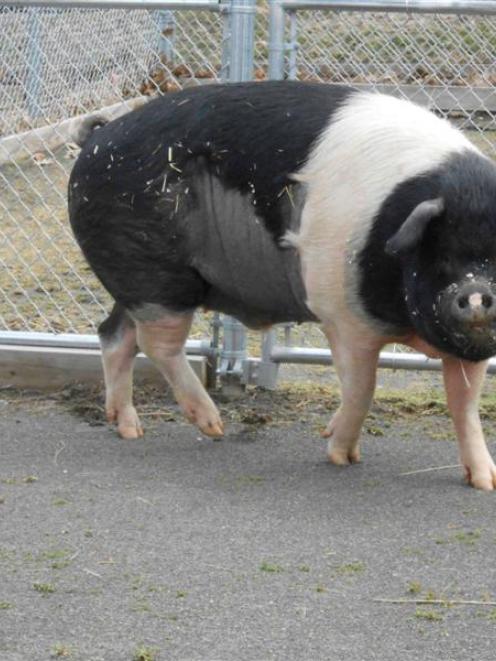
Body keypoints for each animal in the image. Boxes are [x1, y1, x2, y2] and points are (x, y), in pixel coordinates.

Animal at [68, 80, 496, 488]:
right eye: (443, 257)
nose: (477, 294)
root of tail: (96, 138)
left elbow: (464, 405)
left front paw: (484, 482)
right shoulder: (342, 315)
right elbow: (362, 388)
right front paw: (341, 455)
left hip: (134, 283)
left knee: (114, 334)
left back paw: (130, 429)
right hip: (154, 274)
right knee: (156, 343)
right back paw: (214, 425)